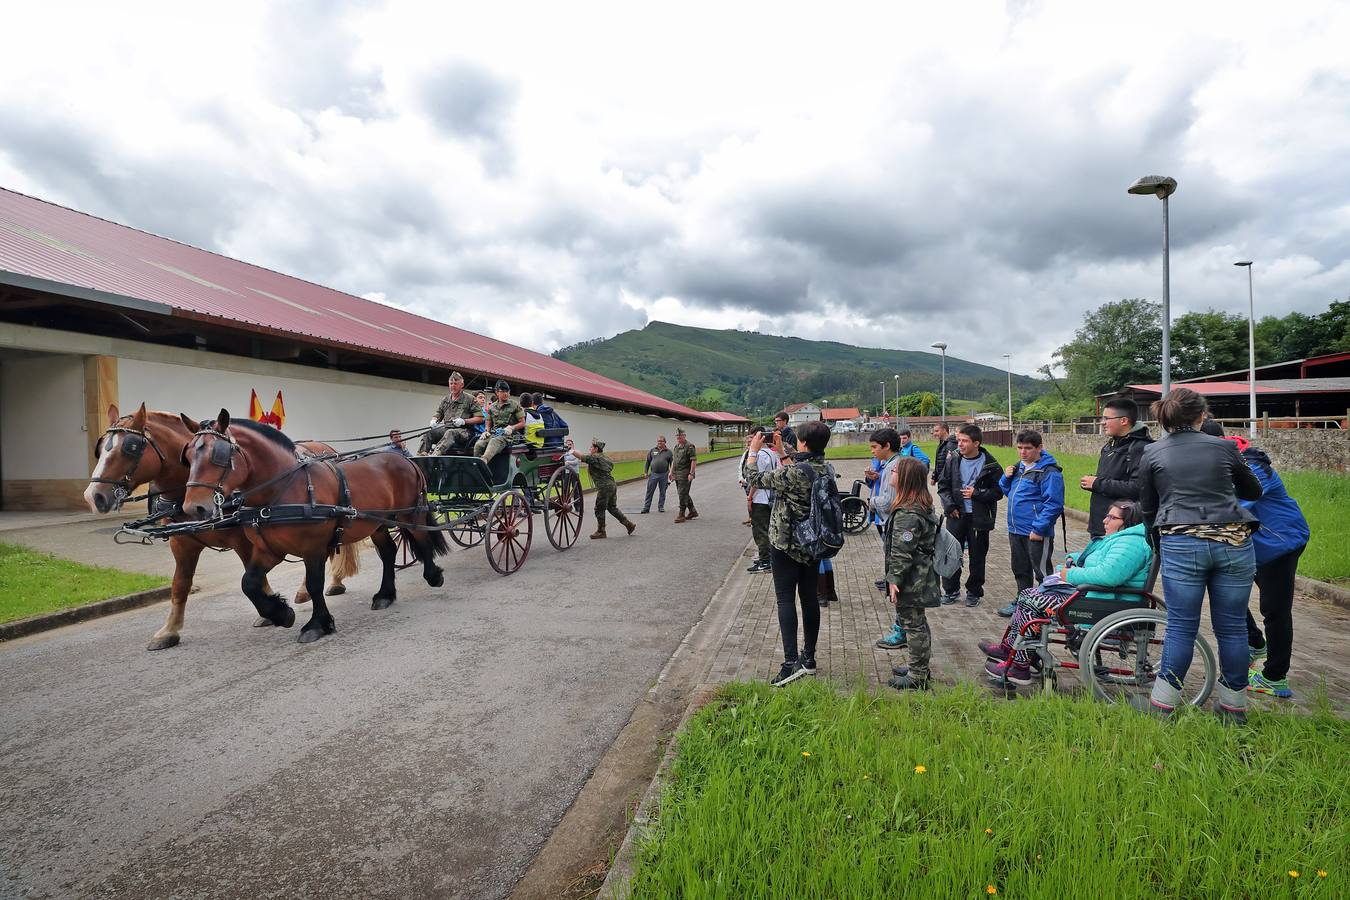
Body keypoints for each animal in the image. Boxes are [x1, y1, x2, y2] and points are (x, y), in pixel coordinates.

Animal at [81, 404, 351, 650]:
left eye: (131, 447)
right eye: (101, 447)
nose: (93, 496)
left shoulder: (244, 541)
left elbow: (252, 578)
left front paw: (271, 610)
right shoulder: (182, 544)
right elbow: (180, 585)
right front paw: (169, 630)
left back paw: (332, 584)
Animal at [174, 412, 445, 644]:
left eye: (217, 455)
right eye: (188, 456)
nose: (193, 508)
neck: (282, 490)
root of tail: (405, 459)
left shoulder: (313, 548)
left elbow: (315, 583)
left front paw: (317, 624)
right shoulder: (269, 550)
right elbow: (248, 583)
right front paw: (281, 614)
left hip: (410, 513)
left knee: (422, 538)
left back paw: (433, 576)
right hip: (377, 523)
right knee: (388, 552)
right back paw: (385, 595)